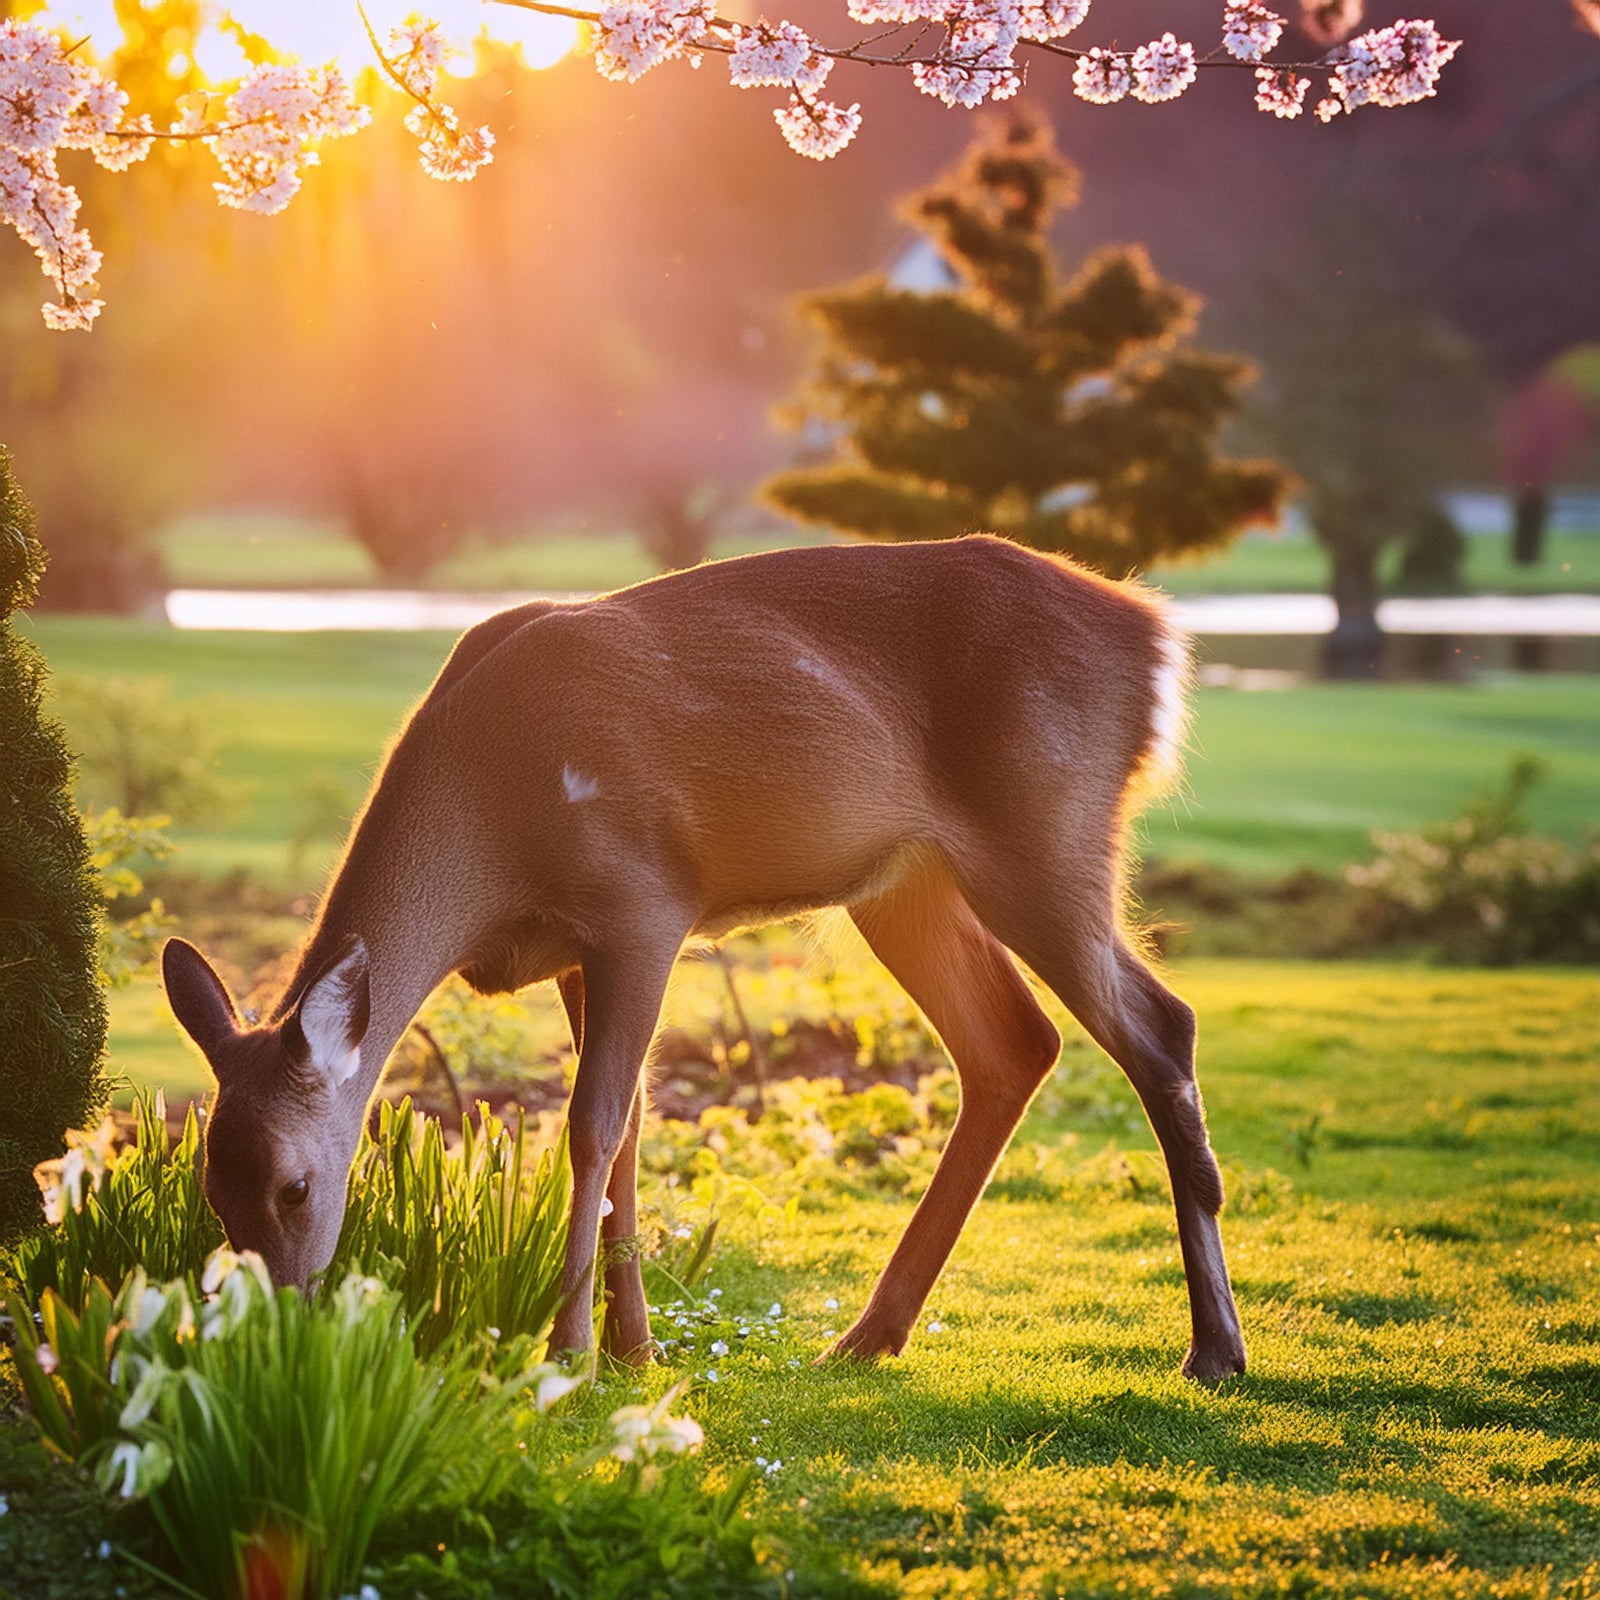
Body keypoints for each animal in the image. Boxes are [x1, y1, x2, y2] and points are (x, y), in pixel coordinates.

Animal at [162, 534, 1247, 1382]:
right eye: (210, 1186)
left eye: (295, 1186)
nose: (276, 1325)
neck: (491, 835)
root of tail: (1155, 636)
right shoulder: (576, 950)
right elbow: (636, 1128)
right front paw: (633, 1349)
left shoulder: (642, 904)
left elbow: (592, 1124)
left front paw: (568, 1351)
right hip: (907, 884)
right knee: (1014, 1043)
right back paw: (869, 1334)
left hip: (1048, 827)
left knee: (1162, 1024)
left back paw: (1215, 1347)